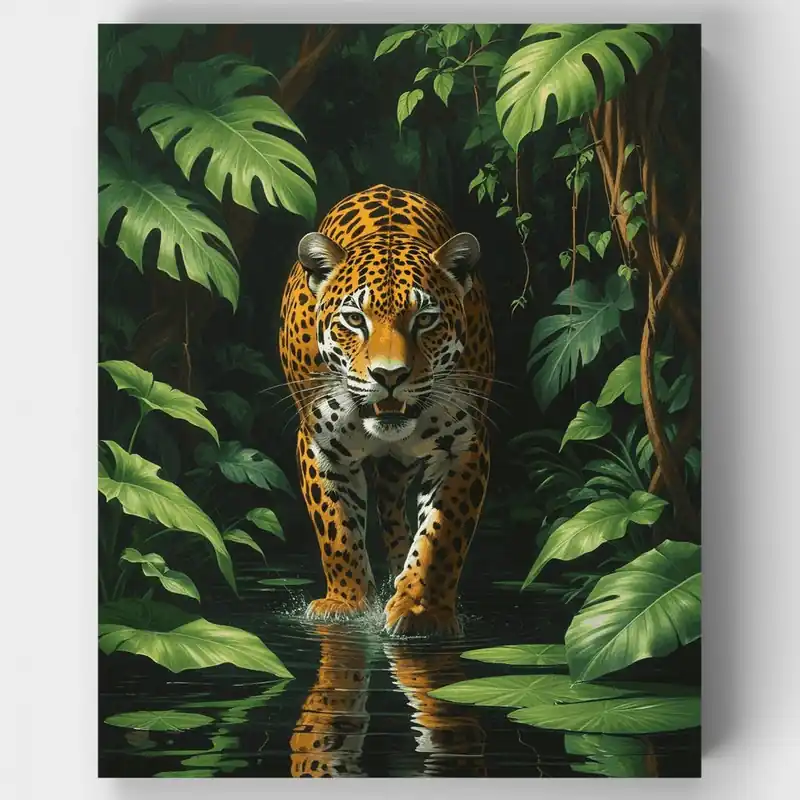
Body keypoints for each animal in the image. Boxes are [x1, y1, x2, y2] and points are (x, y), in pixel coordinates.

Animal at [279, 184, 494, 636]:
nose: (389, 375)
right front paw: (346, 603)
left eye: (425, 320)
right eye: (354, 319)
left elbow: (441, 536)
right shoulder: (320, 444)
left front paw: (421, 609)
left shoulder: (464, 446)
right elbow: (337, 528)